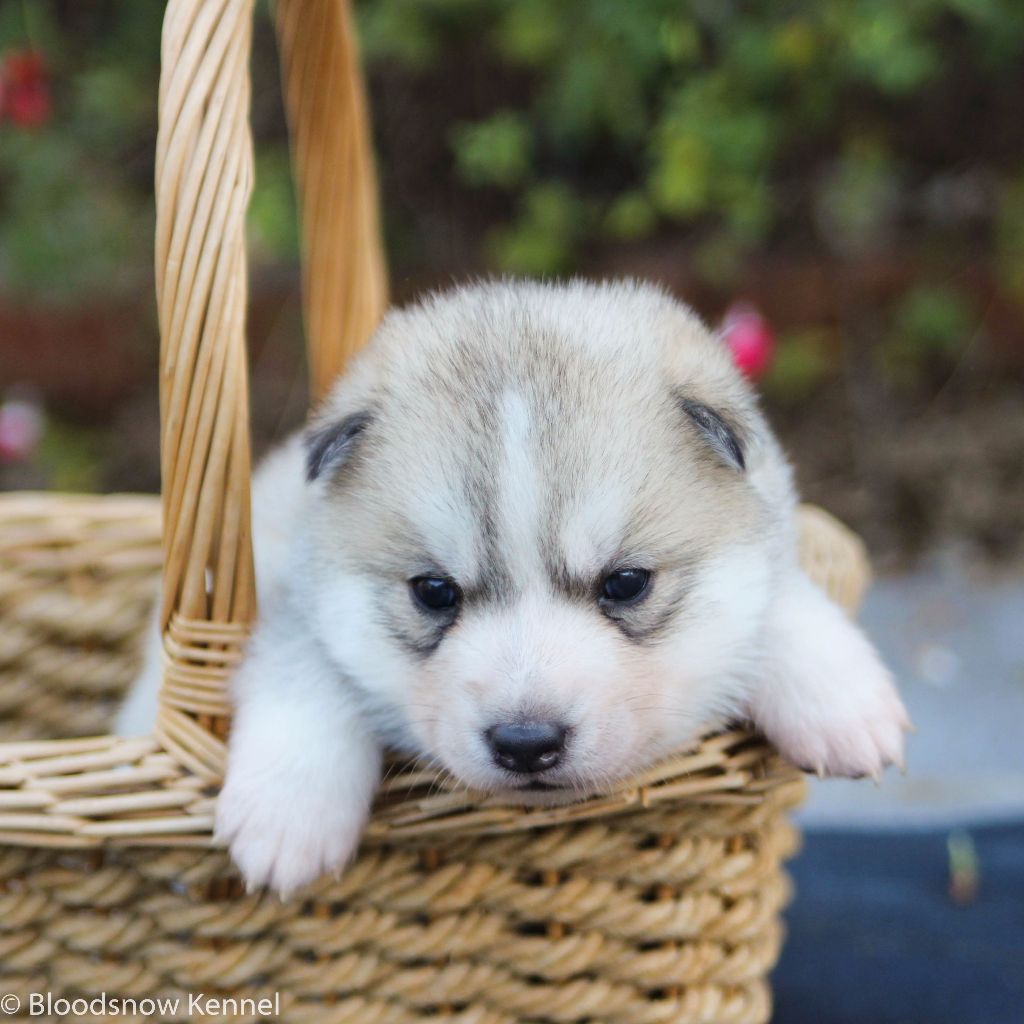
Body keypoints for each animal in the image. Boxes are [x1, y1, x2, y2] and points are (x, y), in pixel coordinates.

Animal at [118, 279, 909, 895]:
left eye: (625, 583)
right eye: (435, 592)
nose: (527, 743)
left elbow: (779, 599)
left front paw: (841, 702)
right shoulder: (283, 583)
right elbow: (306, 664)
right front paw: (288, 813)